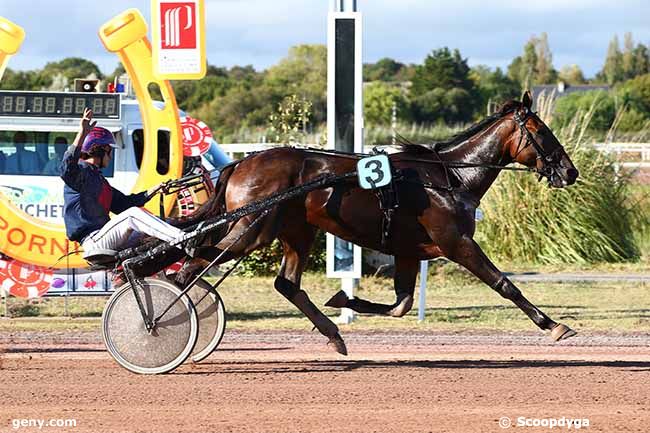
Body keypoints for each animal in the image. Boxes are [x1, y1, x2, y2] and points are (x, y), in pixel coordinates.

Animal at [166, 90, 576, 352]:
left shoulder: (410, 251)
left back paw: (334, 334)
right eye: (542, 132)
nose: (570, 171)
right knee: (193, 262)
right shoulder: (456, 242)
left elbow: (402, 304)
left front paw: (344, 297)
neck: (451, 177)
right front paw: (554, 325)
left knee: (286, 284)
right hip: (252, 230)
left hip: (296, 230)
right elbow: (505, 285)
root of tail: (240, 164)